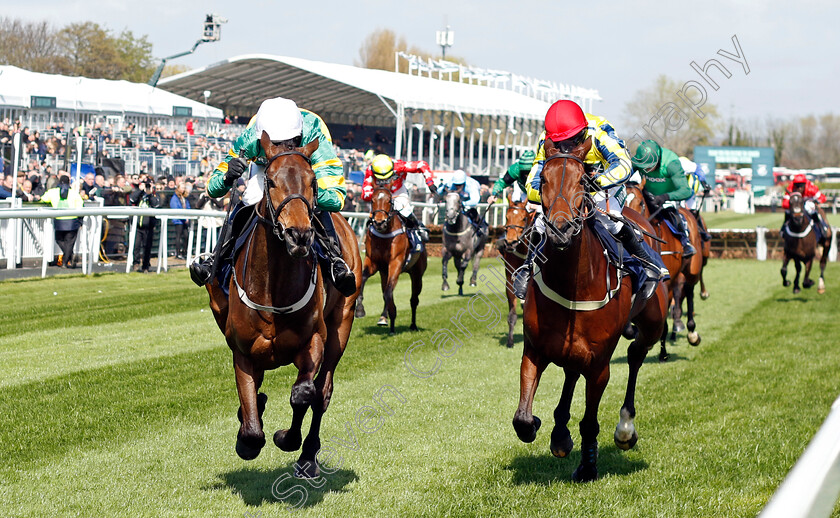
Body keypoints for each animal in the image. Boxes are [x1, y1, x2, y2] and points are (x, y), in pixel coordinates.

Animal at [207, 134, 360, 480]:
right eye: (271, 181)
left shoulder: (313, 340)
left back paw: (308, 457)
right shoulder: (243, 351)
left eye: (313, 182)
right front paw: (247, 436)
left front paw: (286, 439)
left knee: (322, 393)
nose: (299, 235)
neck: (273, 290)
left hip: (342, 324)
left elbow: (304, 394)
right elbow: (251, 423)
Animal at [354, 185, 426, 336]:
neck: (385, 235)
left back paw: (413, 325)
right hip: (384, 273)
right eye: (372, 200)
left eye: (389, 201)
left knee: (413, 300)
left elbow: (388, 292)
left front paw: (388, 316)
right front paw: (360, 310)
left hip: (417, 274)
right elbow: (364, 279)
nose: (379, 222)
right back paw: (388, 321)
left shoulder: (395, 263)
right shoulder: (373, 262)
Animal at [512, 137, 668, 484]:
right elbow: (523, 420)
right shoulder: (534, 349)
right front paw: (550, 430)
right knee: (572, 372)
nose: (560, 229)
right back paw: (559, 432)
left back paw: (625, 428)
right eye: (542, 181)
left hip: (653, 322)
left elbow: (589, 422)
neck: (574, 284)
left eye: (582, 181)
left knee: (636, 354)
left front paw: (587, 466)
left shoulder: (599, 365)